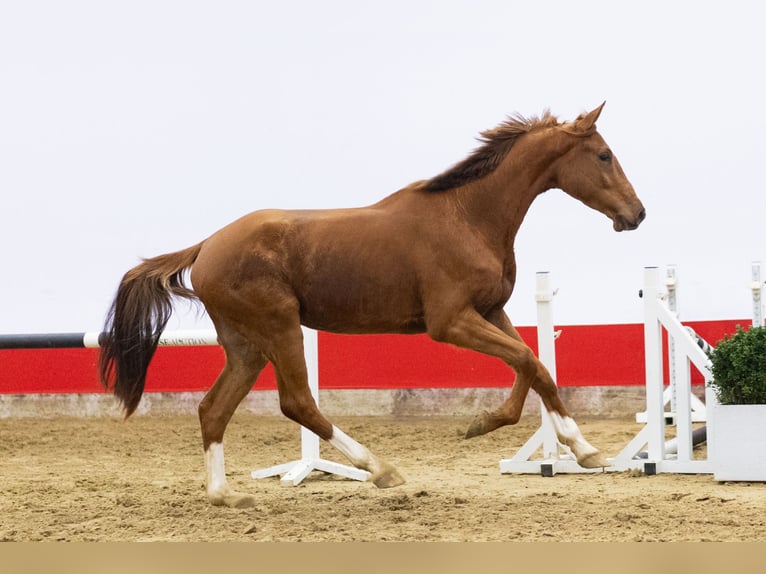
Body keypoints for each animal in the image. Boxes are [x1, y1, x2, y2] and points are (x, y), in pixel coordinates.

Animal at [99, 102, 645, 507]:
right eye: (603, 155)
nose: (637, 214)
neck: (469, 216)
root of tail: (205, 246)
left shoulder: (492, 312)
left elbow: (536, 368)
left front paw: (585, 450)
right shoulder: (451, 322)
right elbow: (528, 360)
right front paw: (482, 425)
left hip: (245, 346)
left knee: (213, 409)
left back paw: (224, 495)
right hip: (280, 328)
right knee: (297, 403)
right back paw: (379, 468)